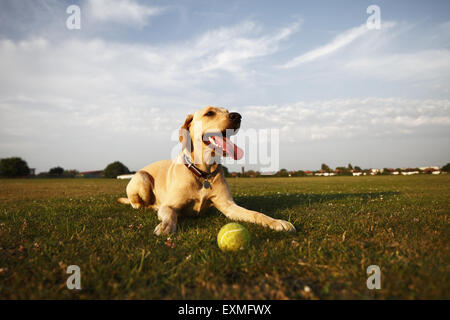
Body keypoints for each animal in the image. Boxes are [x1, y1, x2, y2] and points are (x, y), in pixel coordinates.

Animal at [118, 105, 298, 235]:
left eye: (228, 111)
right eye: (209, 113)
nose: (237, 116)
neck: (202, 172)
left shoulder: (229, 206)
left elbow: (255, 213)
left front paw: (276, 222)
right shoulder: (169, 206)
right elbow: (170, 214)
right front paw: (166, 226)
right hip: (142, 177)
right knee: (139, 204)